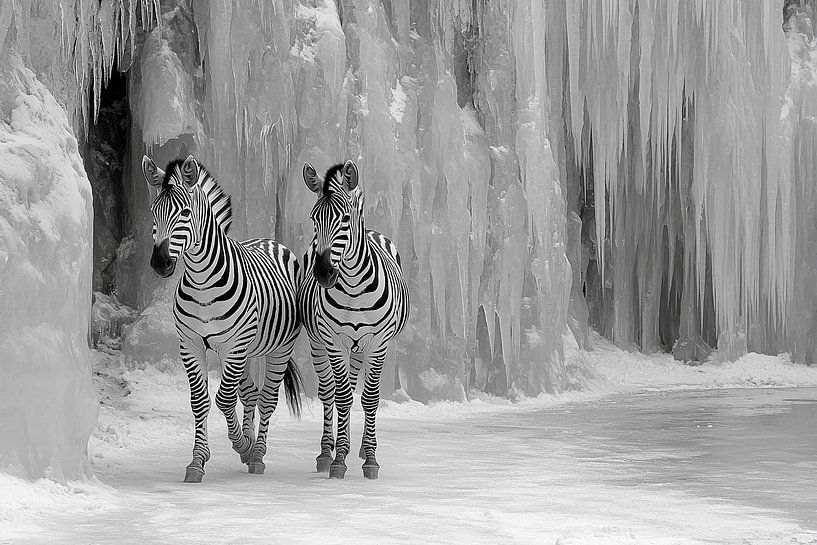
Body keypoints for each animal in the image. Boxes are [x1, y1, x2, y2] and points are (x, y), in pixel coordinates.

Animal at [142, 154, 303, 483]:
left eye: (185, 212)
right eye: (153, 212)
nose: (160, 263)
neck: (203, 281)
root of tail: (269, 240)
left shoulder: (234, 346)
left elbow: (224, 400)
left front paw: (242, 445)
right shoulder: (191, 344)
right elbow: (201, 401)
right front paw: (197, 461)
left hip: (276, 349)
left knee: (267, 399)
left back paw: (256, 454)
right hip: (245, 352)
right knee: (251, 393)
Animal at [298, 160, 410, 479]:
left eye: (345, 218)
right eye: (314, 218)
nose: (324, 274)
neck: (354, 288)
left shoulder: (378, 343)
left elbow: (369, 398)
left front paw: (370, 458)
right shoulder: (334, 341)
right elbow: (342, 397)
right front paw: (339, 460)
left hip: (362, 348)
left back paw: (359, 448)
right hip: (319, 343)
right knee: (329, 392)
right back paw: (328, 451)